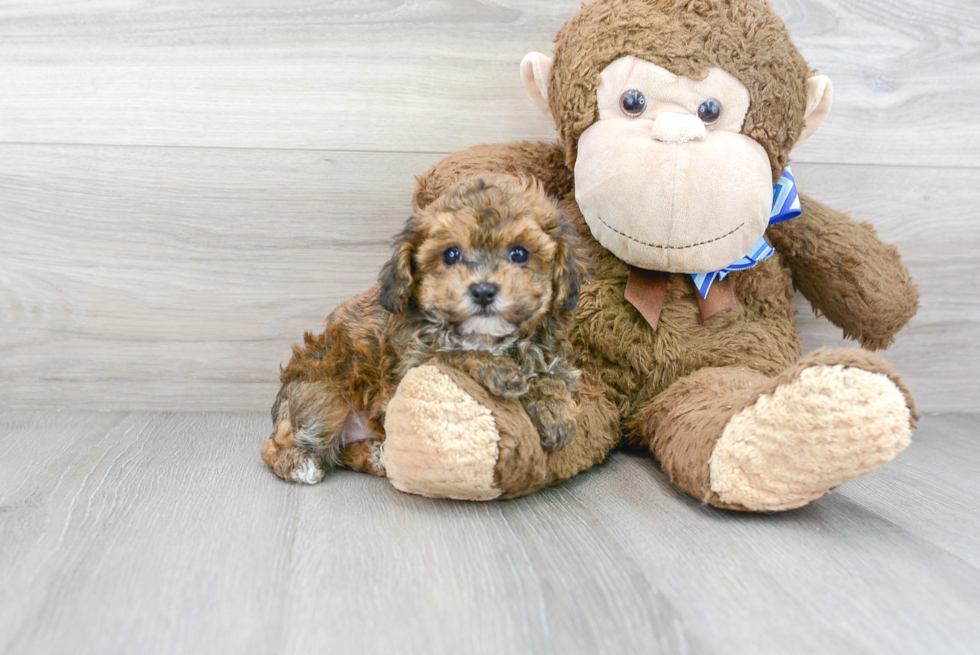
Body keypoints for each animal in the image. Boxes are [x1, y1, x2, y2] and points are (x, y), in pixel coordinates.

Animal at [260, 177, 588, 484]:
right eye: (451, 255)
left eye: (519, 254)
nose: (483, 291)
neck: (487, 336)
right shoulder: (411, 363)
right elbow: (453, 353)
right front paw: (500, 370)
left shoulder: (550, 352)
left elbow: (551, 374)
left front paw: (555, 412)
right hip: (322, 394)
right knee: (278, 445)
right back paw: (300, 462)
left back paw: (377, 455)